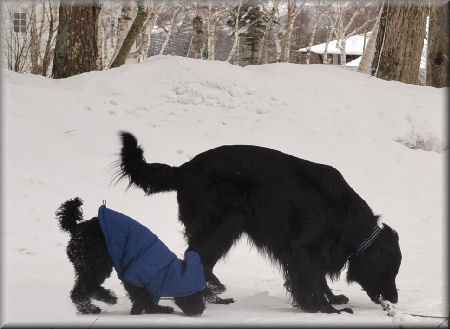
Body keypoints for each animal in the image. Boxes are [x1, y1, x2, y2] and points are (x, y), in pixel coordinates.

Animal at [116, 131, 400, 312]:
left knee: (200, 259)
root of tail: (184, 169)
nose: (395, 299)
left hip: (228, 228)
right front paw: (322, 308)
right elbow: (310, 278)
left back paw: (212, 293)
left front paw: (330, 298)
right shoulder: (301, 249)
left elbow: (318, 277)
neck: (344, 216)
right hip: (218, 225)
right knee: (193, 255)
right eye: (389, 271)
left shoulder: (313, 252)